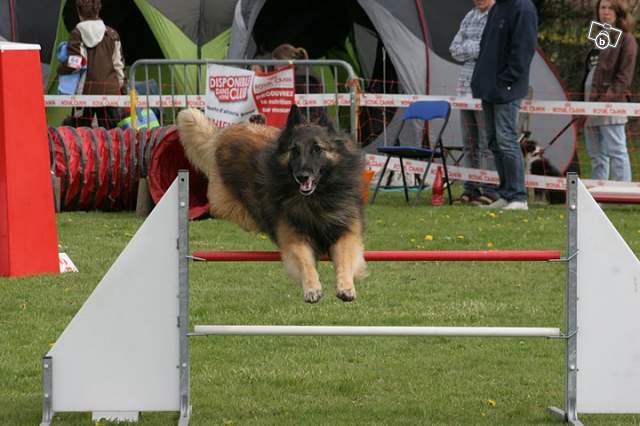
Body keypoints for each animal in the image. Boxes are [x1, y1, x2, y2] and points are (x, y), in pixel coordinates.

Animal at [178, 106, 368, 302]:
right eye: (295, 150)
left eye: (317, 149)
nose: (302, 176)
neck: (315, 198)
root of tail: (223, 135)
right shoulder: (294, 236)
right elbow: (305, 262)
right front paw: (312, 288)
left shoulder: (346, 232)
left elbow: (345, 259)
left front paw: (346, 287)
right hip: (226, 204)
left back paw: (257, 118)